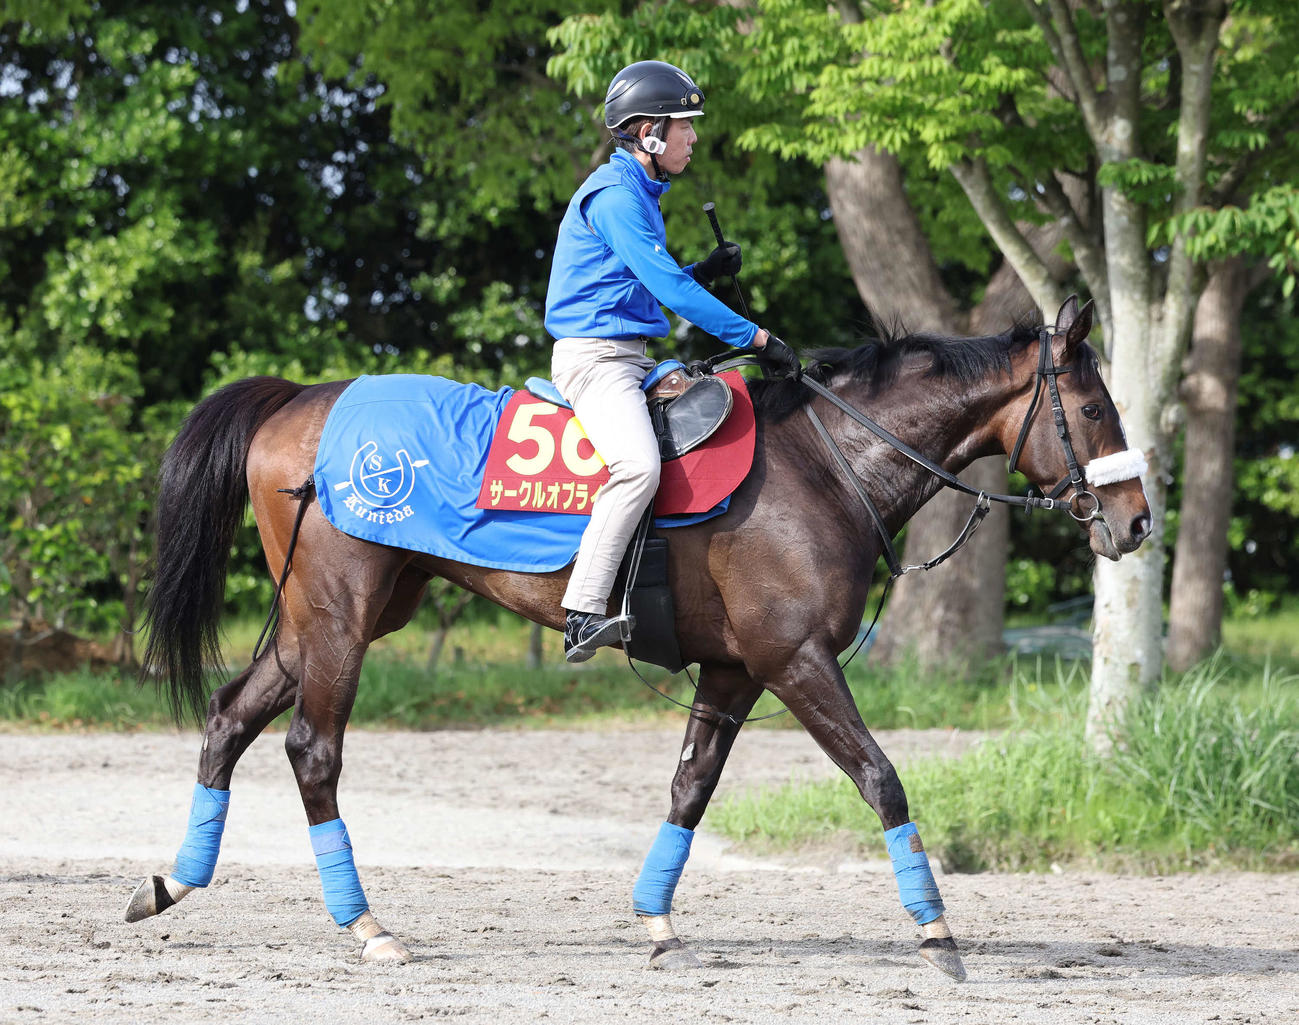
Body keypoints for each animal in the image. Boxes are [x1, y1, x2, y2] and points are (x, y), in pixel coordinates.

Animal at [125, 296, 1150, 982]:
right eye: (1096, 409)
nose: (1136, 521)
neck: (825, 461)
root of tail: (303, 400)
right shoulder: (795, 662)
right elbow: (879, 775)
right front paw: (935, 930)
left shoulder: (735, 669)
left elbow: (690, 788)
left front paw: (655, 918)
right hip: (339, 618)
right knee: (312, 748)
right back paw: (365, 923)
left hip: (327, 620)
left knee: (228, 719)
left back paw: (172, 882)